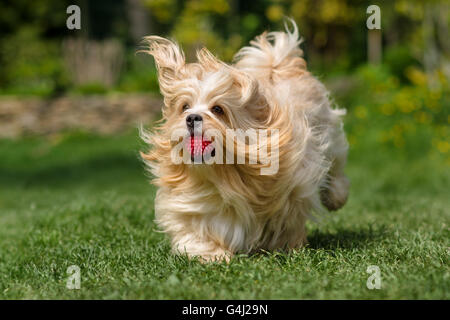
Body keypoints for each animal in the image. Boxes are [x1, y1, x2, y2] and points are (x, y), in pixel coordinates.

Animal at [140, 20, 348, 262]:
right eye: (185, 107)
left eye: (218, 109)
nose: (191, 118)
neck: (227, 176)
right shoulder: (191, 204)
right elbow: (194, 231)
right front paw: (212, 253)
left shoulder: (296, 185)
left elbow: (287, 219)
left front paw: (286, 245)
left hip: (329, 130)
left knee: (336, 165)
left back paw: (336, 197)